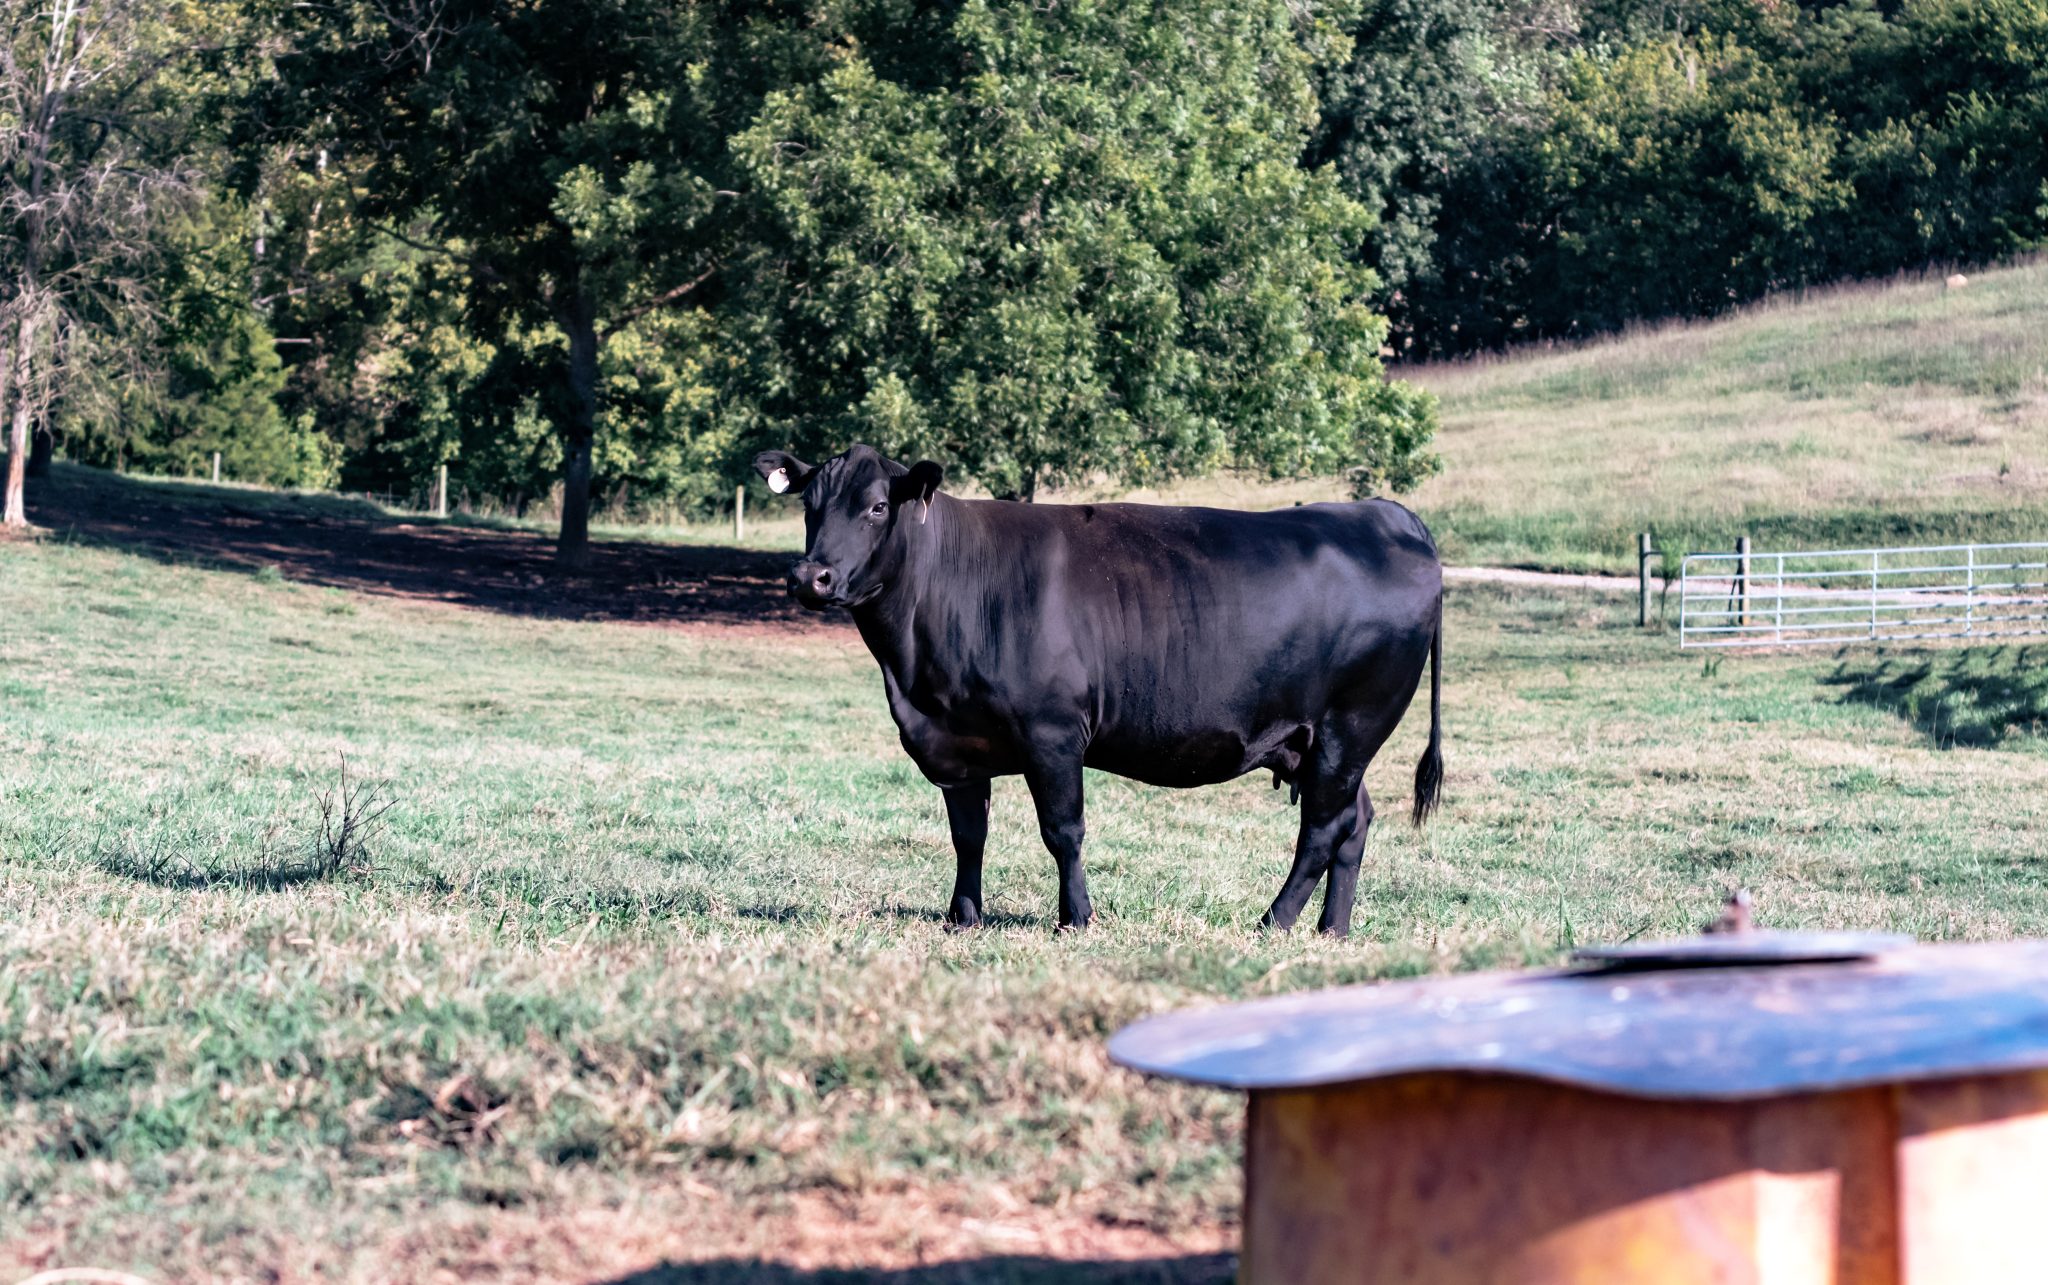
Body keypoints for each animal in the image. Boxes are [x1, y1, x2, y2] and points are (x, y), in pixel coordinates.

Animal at [753, 443, 1443, 938]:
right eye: (810, 507)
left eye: (876, 508)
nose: (811, 577)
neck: (914, 671)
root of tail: (1386, 514)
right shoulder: (957, 740)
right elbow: (968, 834)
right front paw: (962, 917)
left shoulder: (1053, 731)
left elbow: (1063, 830)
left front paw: (1076, 918)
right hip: (1320, 742)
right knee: (1354, 821)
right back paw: (1333, 930)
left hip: (1350, 726)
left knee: (1323, 828)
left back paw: (1273, 922)